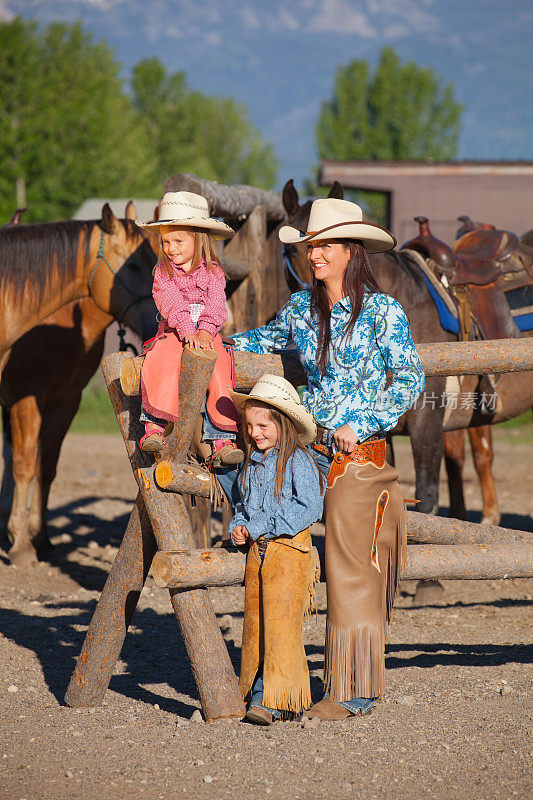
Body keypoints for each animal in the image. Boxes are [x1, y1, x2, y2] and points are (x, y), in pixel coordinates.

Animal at [0, 203, 157, 564]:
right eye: (133, 265)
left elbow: (46, 467)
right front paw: (22, 546)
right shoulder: (25, 399)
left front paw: (40, 537)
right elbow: (25, 465)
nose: (160, 319)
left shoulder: (65, 401)